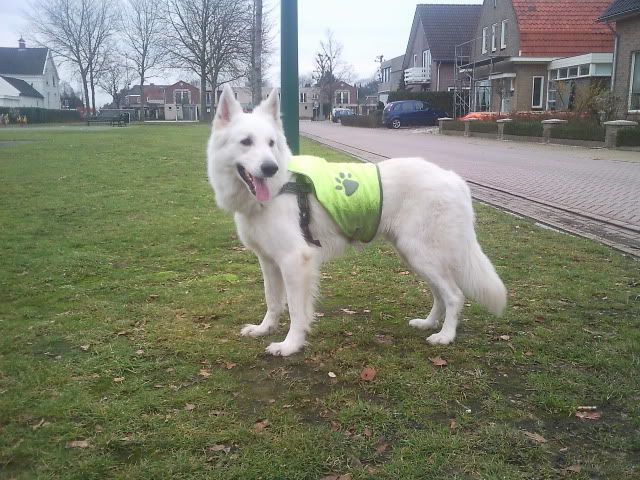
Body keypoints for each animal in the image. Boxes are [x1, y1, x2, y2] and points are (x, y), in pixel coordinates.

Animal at [208, 85, 508, 356]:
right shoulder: (269, 262)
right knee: (440, 295)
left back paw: (445, 336)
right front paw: (264, 329)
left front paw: (290, 345)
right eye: (246, 142)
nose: (270, 168)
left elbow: (295, 310)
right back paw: (428, 324)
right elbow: (272, 301)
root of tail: (454, 178)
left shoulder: (295, 261)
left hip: (422, 255)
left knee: (455, 296)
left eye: (271, 144)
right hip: (415, 256)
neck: (280, 186)